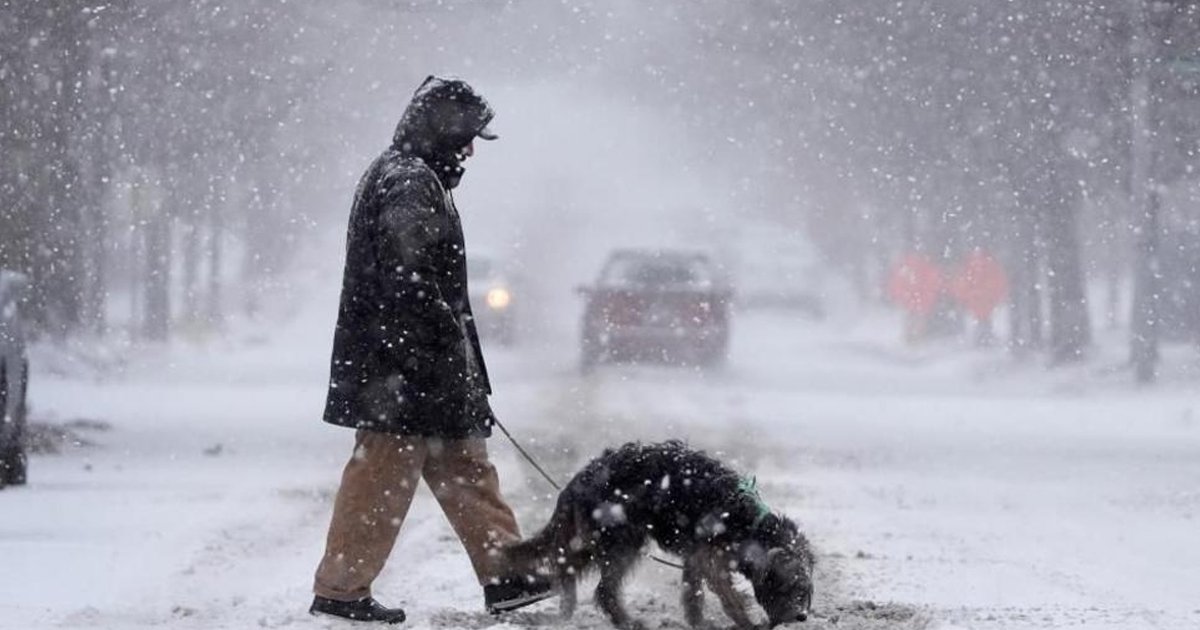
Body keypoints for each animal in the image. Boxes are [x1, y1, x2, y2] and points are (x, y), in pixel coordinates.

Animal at [496, 439, 816, 624]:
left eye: (806, 589)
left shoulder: (696, 556)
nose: (800, 616)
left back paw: (567, 606)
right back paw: (625, 621)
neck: (749, 523)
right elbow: (727, 596)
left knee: (567, 566)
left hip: (596, 537)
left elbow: (692, 592)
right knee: (603, 589)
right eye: (788, 586)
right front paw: (745, 622)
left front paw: (697, 622)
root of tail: (578, 479)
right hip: (620, 539)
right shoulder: (711, 558)